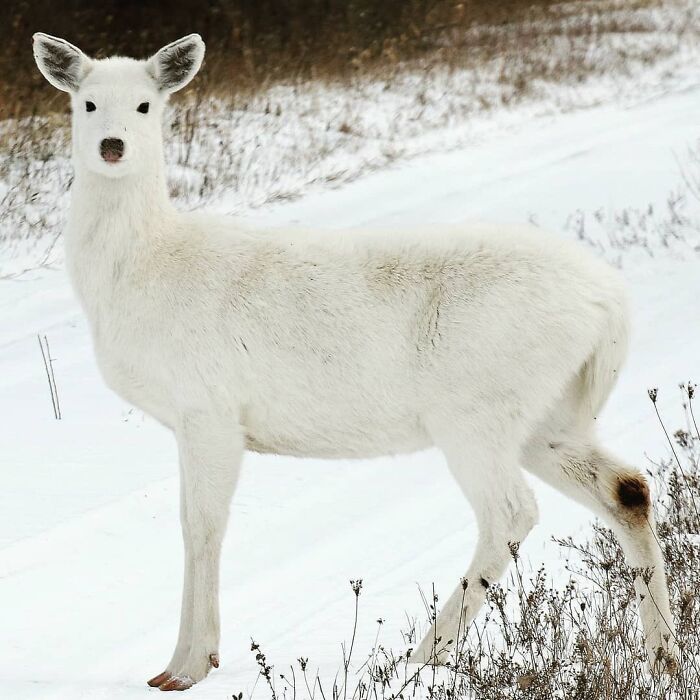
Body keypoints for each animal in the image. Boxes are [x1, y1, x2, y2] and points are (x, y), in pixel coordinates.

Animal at [32, 32, 676, 691]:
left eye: (145, 105)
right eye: (86, 103)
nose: (112, 146)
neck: (140, 273)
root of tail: (611, 305)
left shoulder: (209, 406)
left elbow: (201, 525)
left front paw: (187, 666)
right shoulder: (194, 419)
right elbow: (190, 523)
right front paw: (180, 662)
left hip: (479, 408)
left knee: (510, 513)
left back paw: (423, 655)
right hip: (551, 416)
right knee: (627, 487)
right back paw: (663, 654)